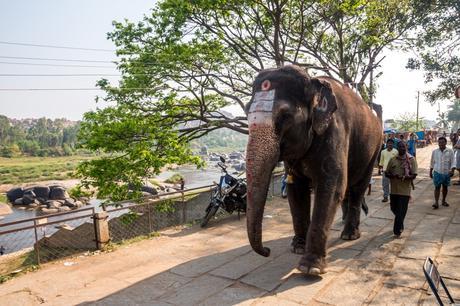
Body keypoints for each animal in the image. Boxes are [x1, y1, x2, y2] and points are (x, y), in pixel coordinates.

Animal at [246, 64, 382, 274]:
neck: (313, 82)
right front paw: (297, 247)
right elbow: (295, 188)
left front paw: (310, 268)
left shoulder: (335, 131)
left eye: (285, 116)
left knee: (358, 187)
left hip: (374, 149)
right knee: (349, 190)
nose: (267, 251)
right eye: (246, 111)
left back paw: (349, 235)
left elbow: (331, 187)